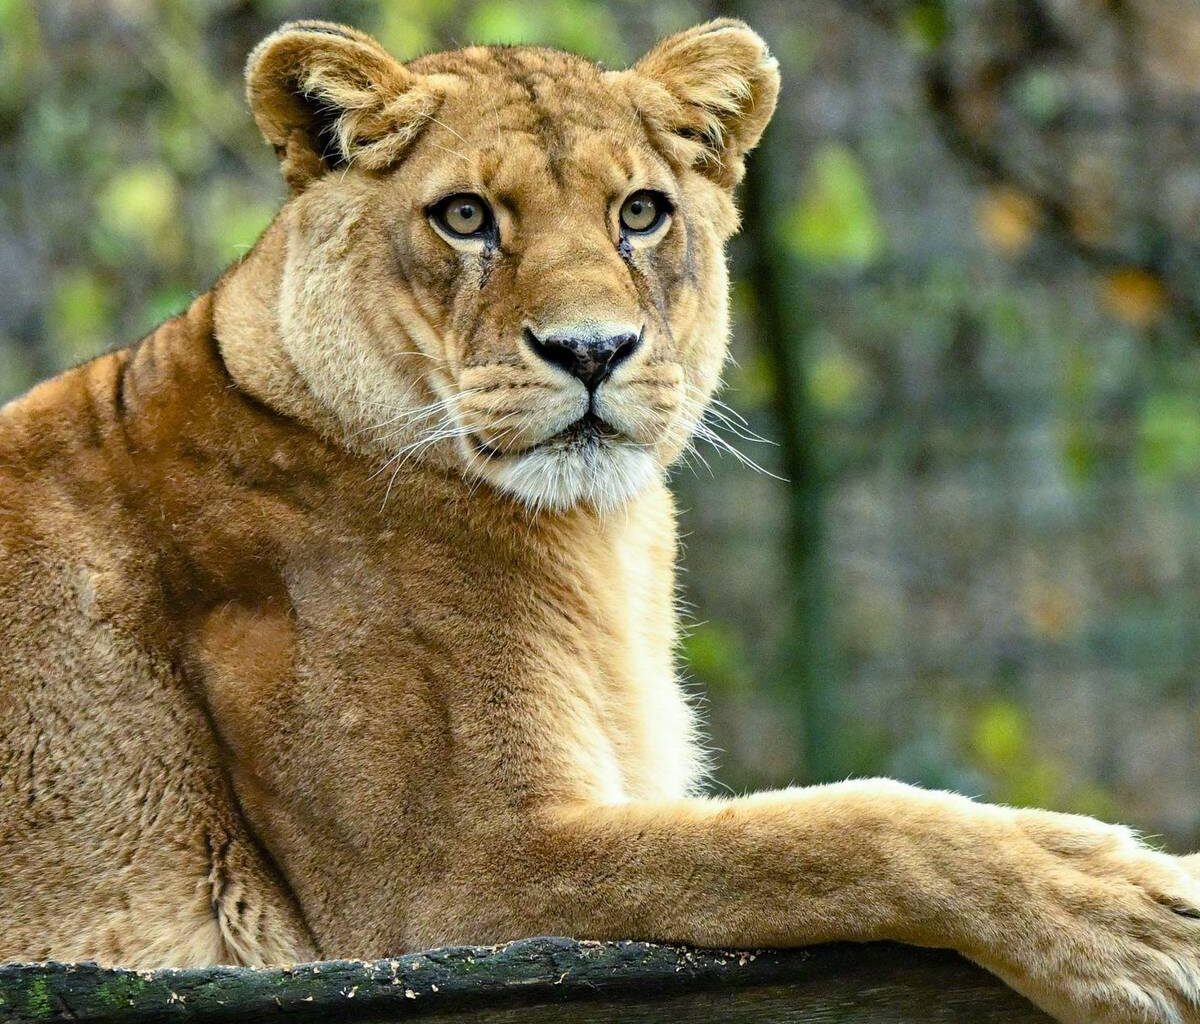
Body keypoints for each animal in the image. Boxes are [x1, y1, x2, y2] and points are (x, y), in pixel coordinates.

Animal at [1, 18, 1198, 1023]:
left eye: (640, 212)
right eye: (467, 216)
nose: (591, 351)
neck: (598, 535)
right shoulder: (449, 877)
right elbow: (826, 832)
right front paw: (1128, 912)